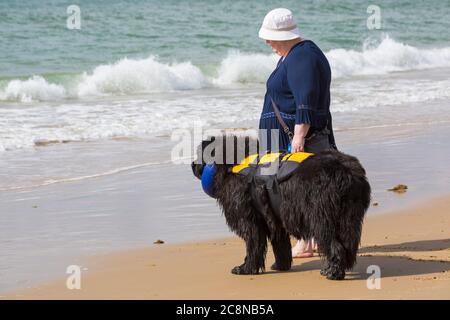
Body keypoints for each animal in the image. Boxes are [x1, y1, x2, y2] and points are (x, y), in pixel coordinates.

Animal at [192, 135, 370, 280]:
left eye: (200, 153)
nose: (192, 164)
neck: (232, 164)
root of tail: (346, 172)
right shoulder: (274, 217)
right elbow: (280, 244)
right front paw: (281, 266)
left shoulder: (250, 220)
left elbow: (253, 243)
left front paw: (245, 268)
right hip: (349, 216)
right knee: (347, 242)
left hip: (321, 217)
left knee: (333, 243)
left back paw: (333, 272)